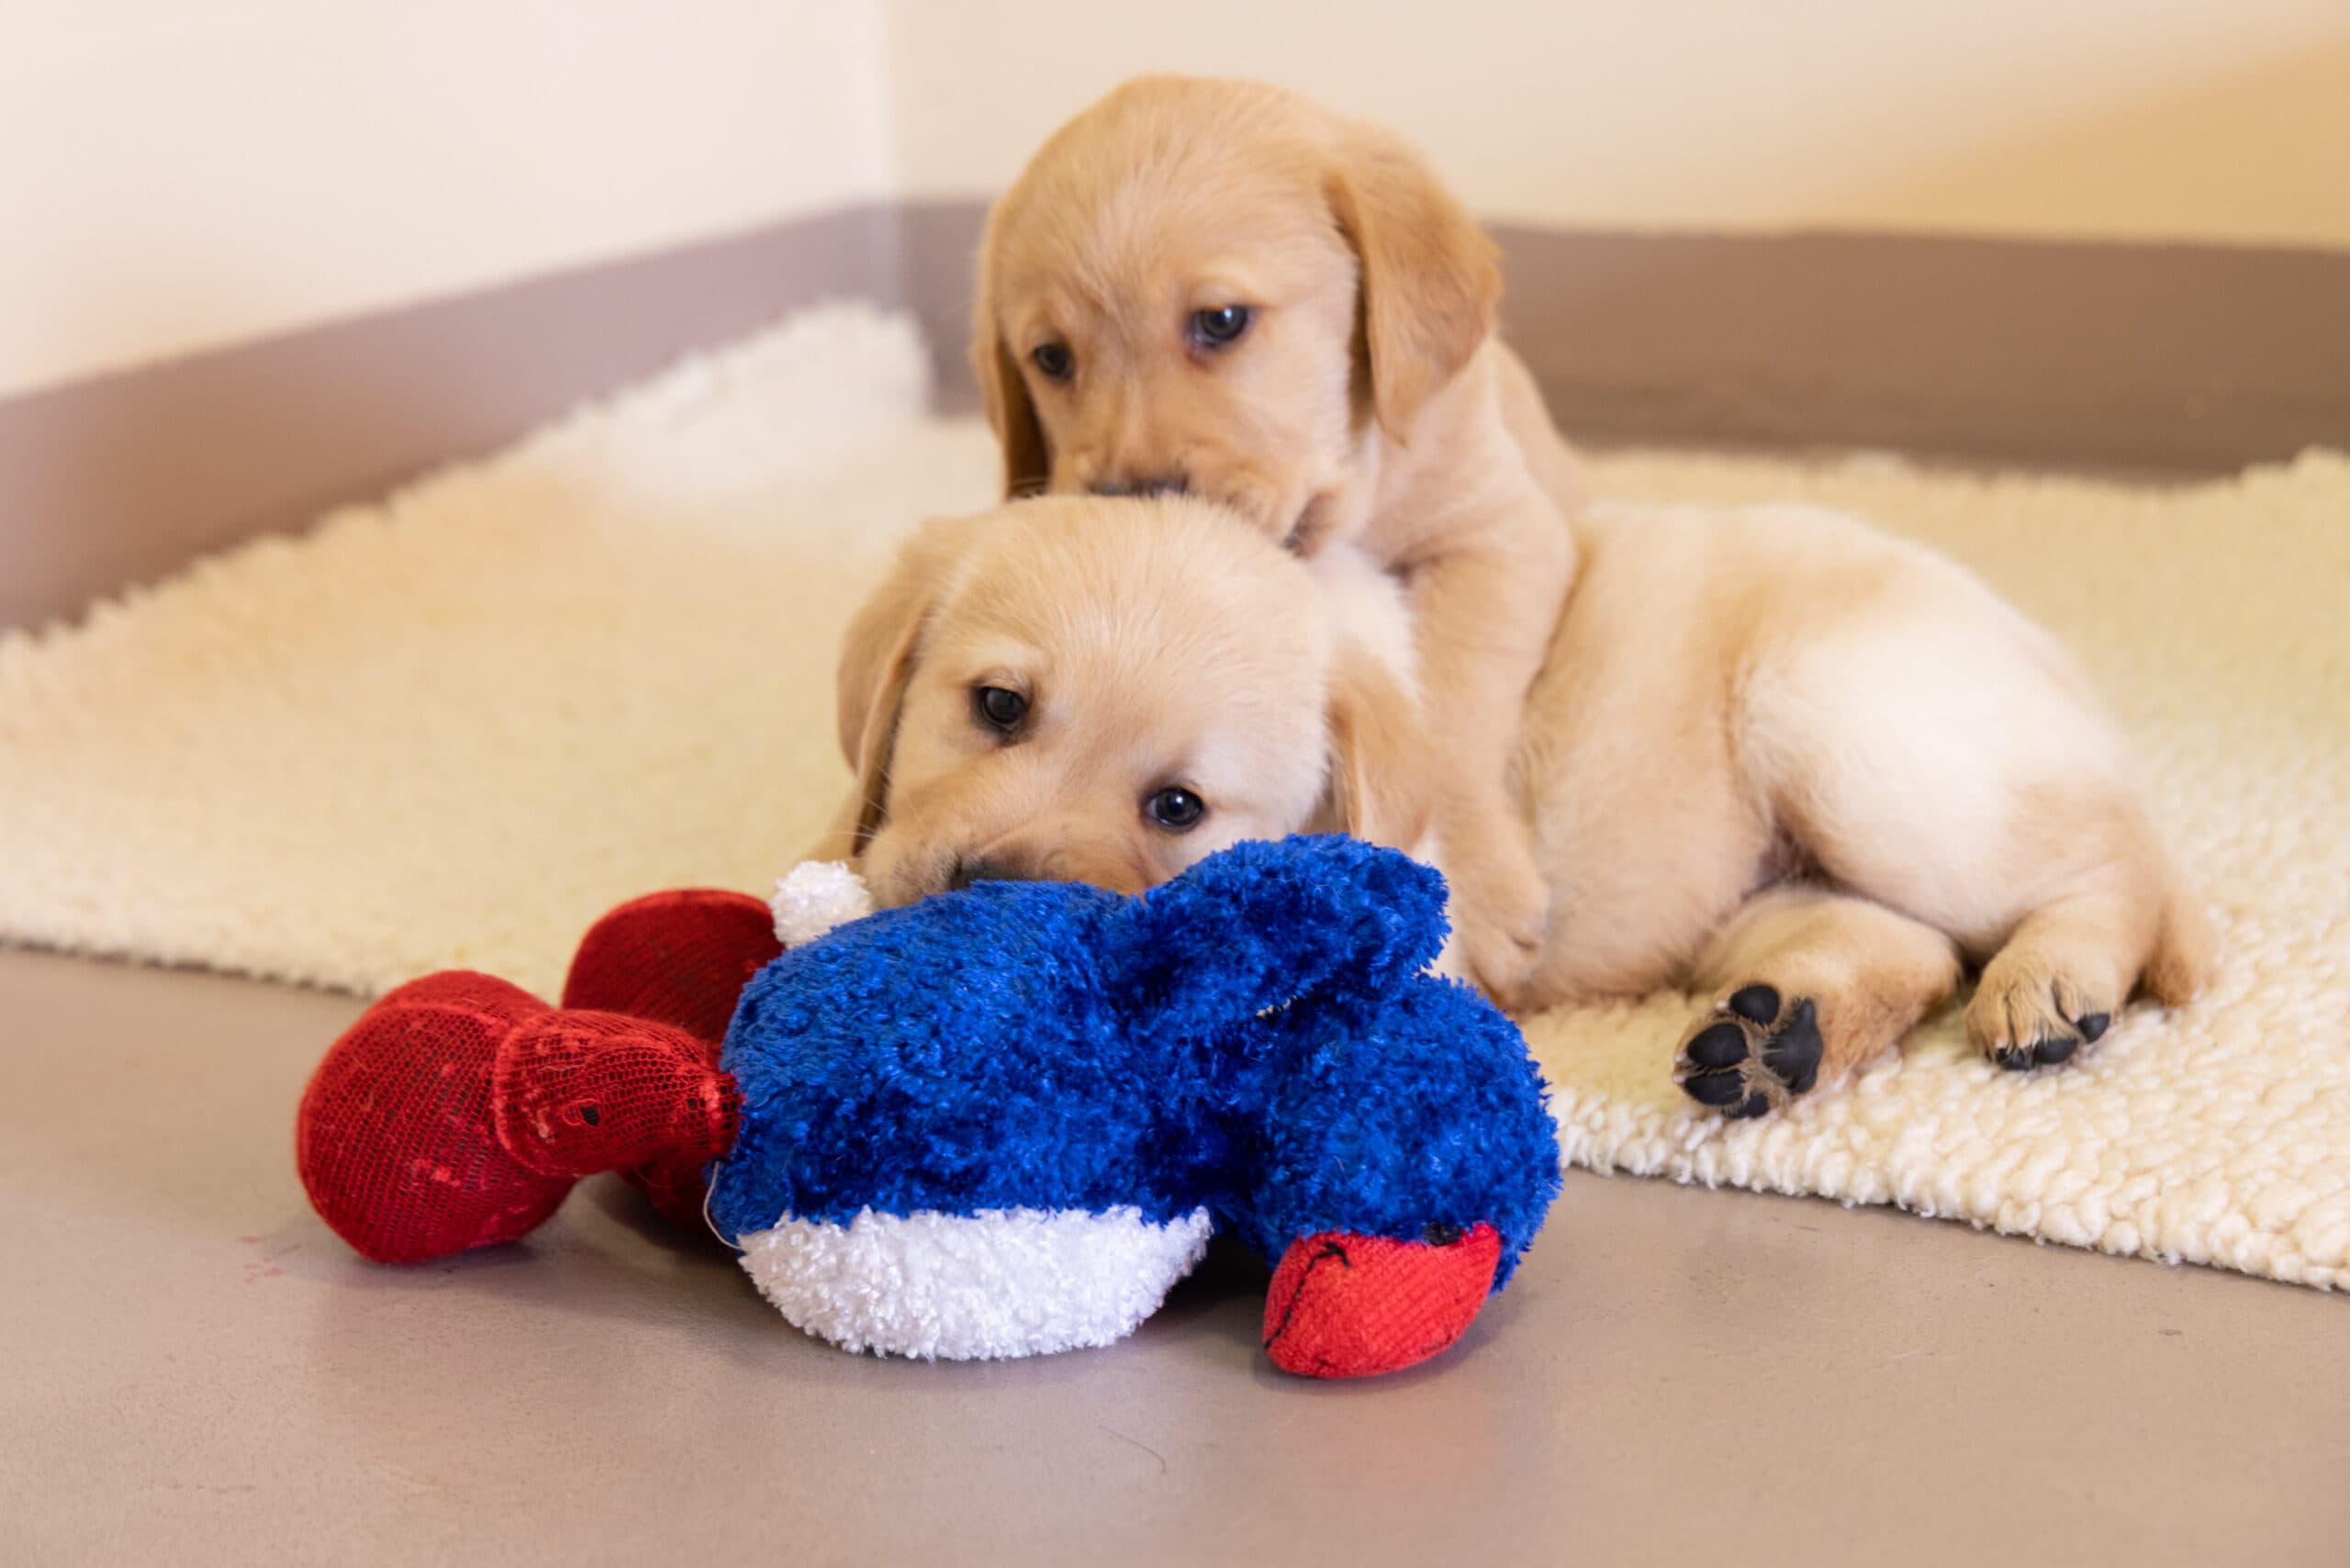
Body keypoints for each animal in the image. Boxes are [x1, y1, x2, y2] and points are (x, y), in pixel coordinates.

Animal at [817, 496, 2209, 1124]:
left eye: (1177, 805)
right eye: (997, 706)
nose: (991, 890)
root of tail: (2050, 658)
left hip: (1853, 729)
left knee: (2111, 866)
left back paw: (2052, 984)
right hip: (1755, 885)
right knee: (1903, 941)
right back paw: (1784, 1035)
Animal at [963, 73, 1588, 1001]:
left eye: (1222, 320)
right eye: (1050, 358)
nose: (1131, 496)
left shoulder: (1499, 533)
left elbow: (1449, 714)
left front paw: (1477, 885)